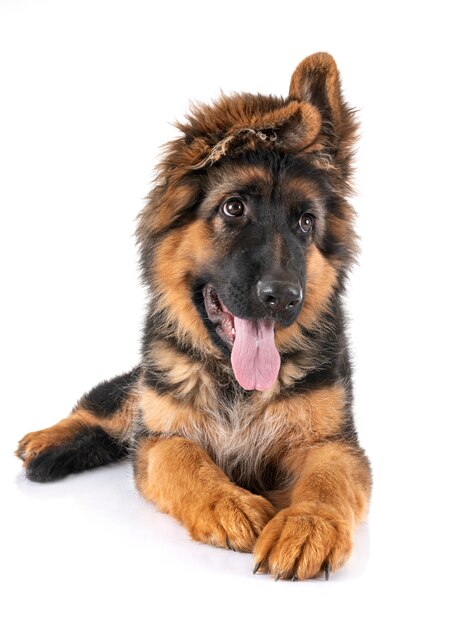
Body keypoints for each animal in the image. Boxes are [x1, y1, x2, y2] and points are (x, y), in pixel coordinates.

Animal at [18, 53, 372, 580]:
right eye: (234, 207)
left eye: (305, 222)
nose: (283, 298)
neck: (234, 383)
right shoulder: (160, 437)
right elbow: (183, 457)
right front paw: (229, 504)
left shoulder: (335, 444)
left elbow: (328, 481)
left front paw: (307, 524)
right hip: (142, 386)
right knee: (110, 409)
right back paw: (46, 441)